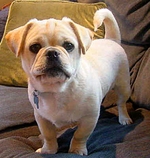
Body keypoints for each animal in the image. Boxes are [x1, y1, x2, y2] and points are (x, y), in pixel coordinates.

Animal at [5, 8, 132, 156]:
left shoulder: (89, 118)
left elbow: (80, 135)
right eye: (34, 47)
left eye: (69, 46)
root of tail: (111, 40)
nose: (52, 52)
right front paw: (48, 150)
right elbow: (48, 136)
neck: (57, 90)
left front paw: (76, 150)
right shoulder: (42, 118)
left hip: (123, 87)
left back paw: (124, 118)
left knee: (121, 103)